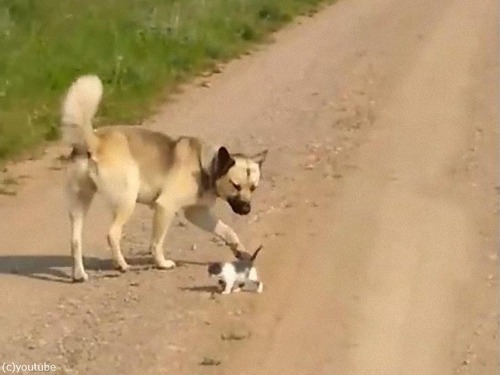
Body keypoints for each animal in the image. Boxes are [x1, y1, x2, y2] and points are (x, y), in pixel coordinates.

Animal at [62, 75, 268, 282]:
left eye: (253, 188)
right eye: (235, 185)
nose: (247, 210)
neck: (208, 164)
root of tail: (94, 142)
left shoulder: (197, 213)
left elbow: (227, 231)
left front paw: (241, 251)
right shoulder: (165, 207)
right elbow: (156, 243)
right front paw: (161, 263)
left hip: (80, 204)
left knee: (75, 240)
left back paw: (79, 274)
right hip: (126, 202)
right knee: (112, 234)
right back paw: (121, 264)